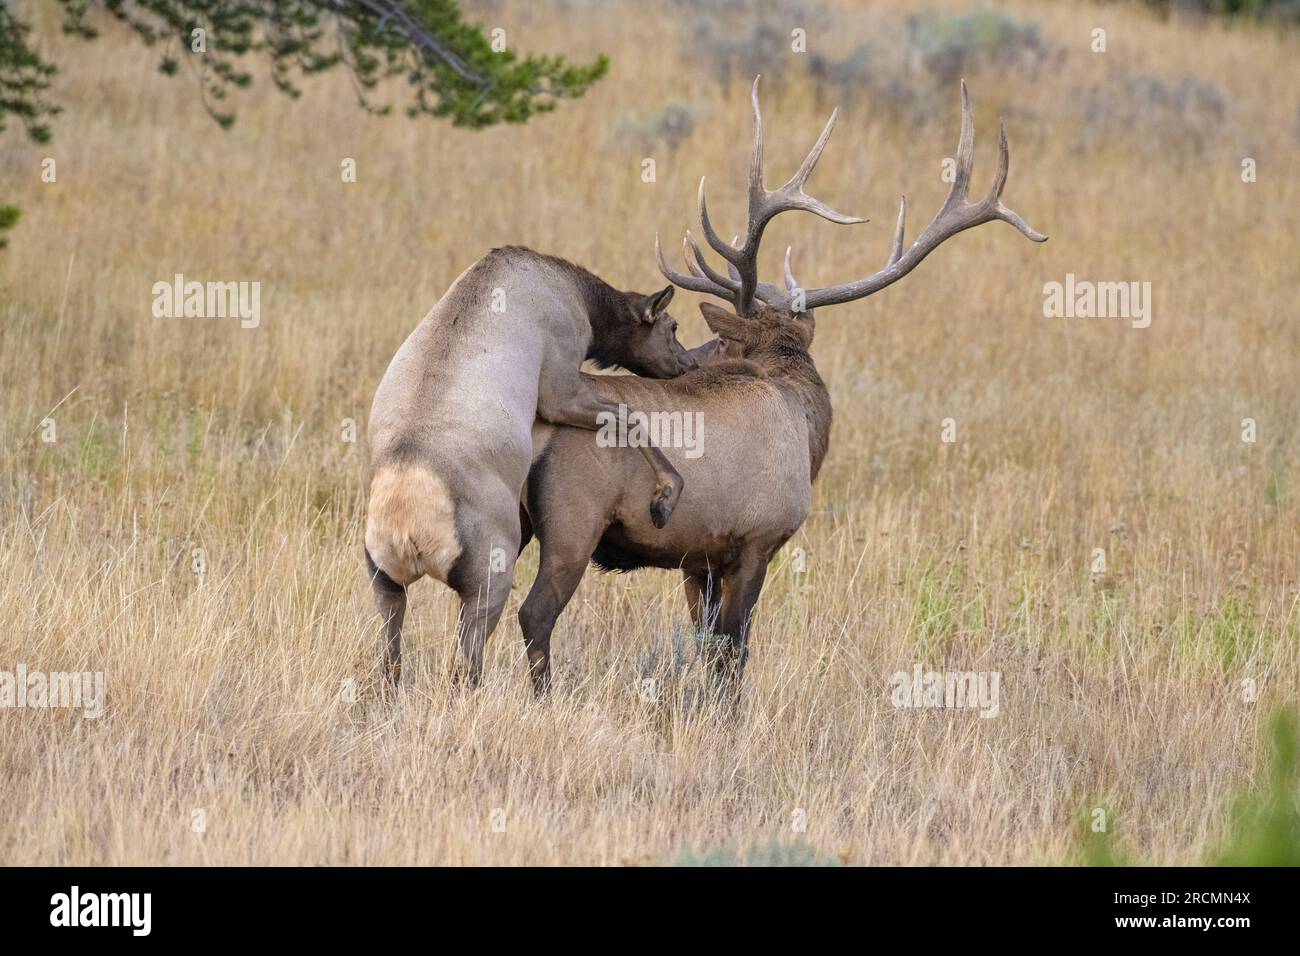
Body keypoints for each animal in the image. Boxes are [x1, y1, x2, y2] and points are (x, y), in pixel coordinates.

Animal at [366, 247, 702, 686]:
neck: (578, 295)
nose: (688, 365)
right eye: (672, 325)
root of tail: (409, 524)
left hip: (383, 580)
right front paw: (665, 496)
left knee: (389, 662)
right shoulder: (559, 388)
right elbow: (627, 416)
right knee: (465, 668)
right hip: (489, 579)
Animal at [514, 78, 1045, 697]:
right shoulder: (757, 539)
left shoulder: (698, 558)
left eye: (717, 343)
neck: (805, 424)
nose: (686, 363)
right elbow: (732, 651)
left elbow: (706, 643)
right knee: (534, 612)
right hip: (574, 521)